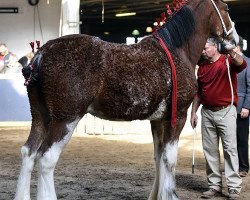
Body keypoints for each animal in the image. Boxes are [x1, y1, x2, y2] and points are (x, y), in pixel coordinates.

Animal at [15, 0, 238, 200]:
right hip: (65, 119)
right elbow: (170, 159)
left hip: (41, 117)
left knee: (28, 153)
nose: (235, 41)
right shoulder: (178, 116)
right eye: (227, 9)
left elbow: (159, 157)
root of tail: (41, 54)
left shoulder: (158, 120)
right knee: (46, 159)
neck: (177, 52)